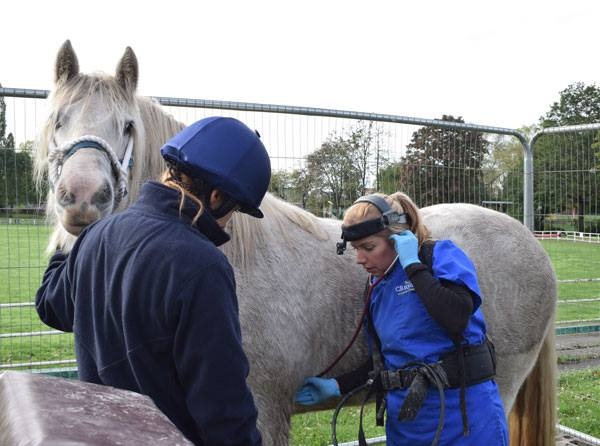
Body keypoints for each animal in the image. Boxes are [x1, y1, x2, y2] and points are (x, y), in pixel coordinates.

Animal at [34, 40, 557, 446]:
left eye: (127, 126)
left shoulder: (263, 408)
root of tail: (532, 244)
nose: (84, 198)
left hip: (501, 380)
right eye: (58, 120)